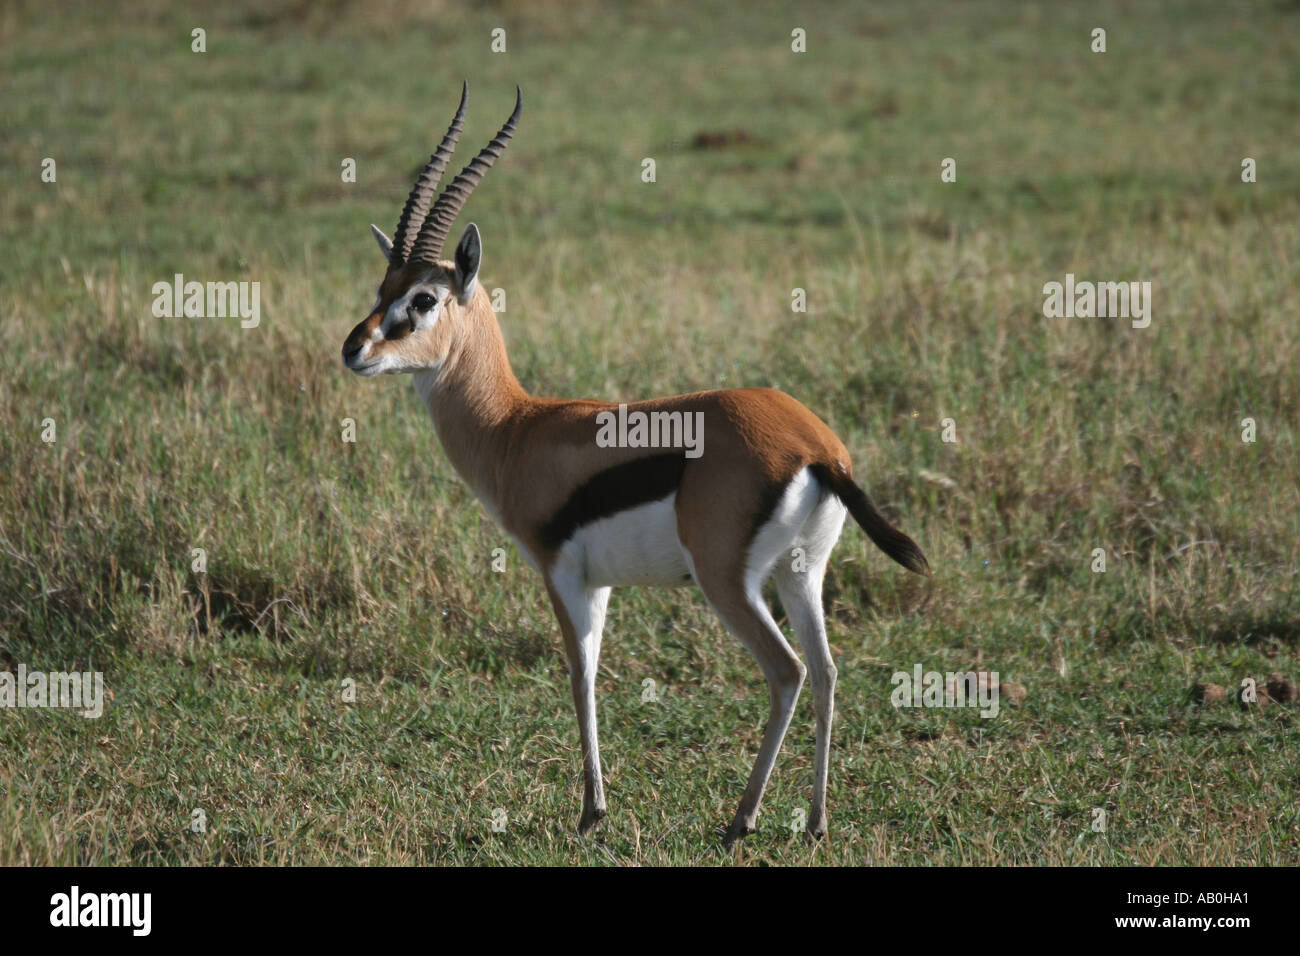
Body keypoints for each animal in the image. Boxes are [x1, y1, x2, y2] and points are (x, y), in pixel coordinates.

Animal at [341, 84, 930, 846]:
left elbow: (581, 676)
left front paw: (592, 811)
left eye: (423, 299)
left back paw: (739, 821)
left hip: (727, 582)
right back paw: (816, 823)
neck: (516, 428)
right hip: (802, 574)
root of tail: (817, 447)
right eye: (381, 287)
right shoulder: (603, 582)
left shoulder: (565, 573)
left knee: (788, 672)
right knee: (827, 671)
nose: (354, 348)